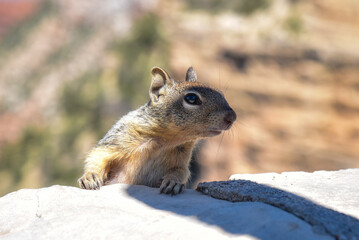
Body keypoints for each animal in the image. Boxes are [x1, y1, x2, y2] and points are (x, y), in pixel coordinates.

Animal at [78, 66, 236, 194]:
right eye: (191, 98)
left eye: (221, 93)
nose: (232, 117)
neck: (165, 140)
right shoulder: (119, 137)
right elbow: (98, 155)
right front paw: (90, 177)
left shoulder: (181, 159)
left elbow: (181, 171)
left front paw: (173, 182)